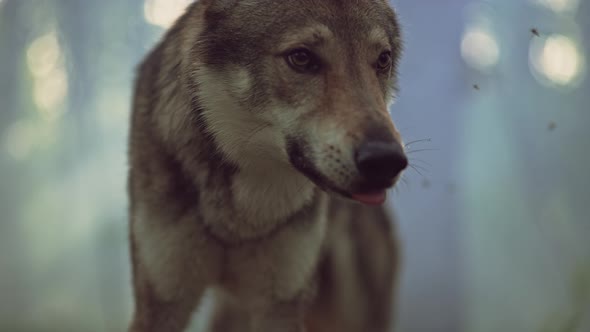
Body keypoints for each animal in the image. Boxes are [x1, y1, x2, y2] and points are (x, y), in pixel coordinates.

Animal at [128, 1, 408, 330]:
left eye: (382, 60)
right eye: (301, 58)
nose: (386, 161)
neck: (240, 219)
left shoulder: (280, 305)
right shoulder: (162, 303)